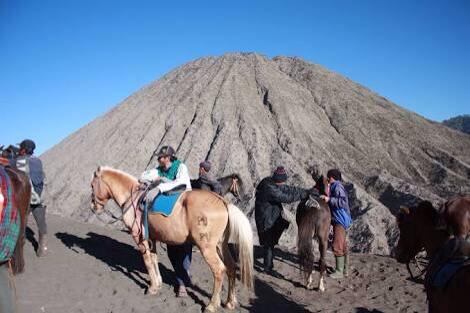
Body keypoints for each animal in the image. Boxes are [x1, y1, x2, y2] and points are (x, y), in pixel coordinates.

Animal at [91, 166, 253, 310]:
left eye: (92, 185)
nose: (94, 207)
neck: (134, 199)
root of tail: (223, 202)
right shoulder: (152, 238)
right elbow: (154, 259)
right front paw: (158, 284)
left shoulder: (139, 238)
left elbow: (147, 261)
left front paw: (152, 288)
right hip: (221, 245)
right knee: (231, 267)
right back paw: (230, 302)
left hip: (207, 248)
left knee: (219, 270)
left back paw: (212, 305)